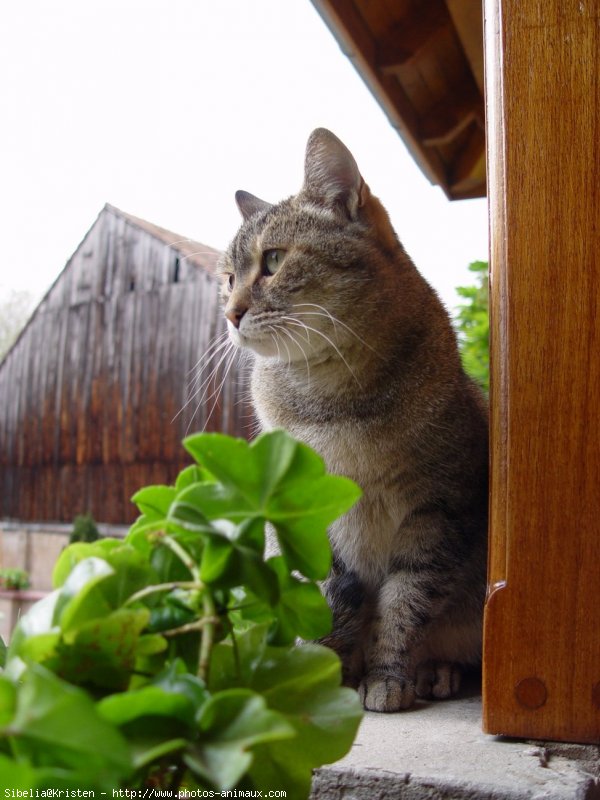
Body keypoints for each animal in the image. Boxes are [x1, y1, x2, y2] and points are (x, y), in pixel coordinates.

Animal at [216, 128, 488, 708]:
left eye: (273, 260)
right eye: (227, 278)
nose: (230, 313)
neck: (334, 405)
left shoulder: (437, 512)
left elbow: (406, 602)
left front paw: (389, 677)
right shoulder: (306, 514)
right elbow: (328, 597)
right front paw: (323, 676)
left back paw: (436, 672)